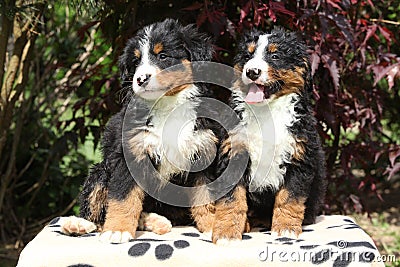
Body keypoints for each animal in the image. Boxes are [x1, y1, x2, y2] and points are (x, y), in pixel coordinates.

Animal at [63, 18, 227, 244]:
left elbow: (206, 196)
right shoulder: (130, 153)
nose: (141, 79)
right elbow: (123, 196)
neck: (168, 105)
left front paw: (213, 226)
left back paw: (154, 221)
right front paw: (117, 230)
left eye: (163, 56)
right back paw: (77, 224)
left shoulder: (203, 151)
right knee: (96, 211)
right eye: (135, 63)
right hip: (100, 171)